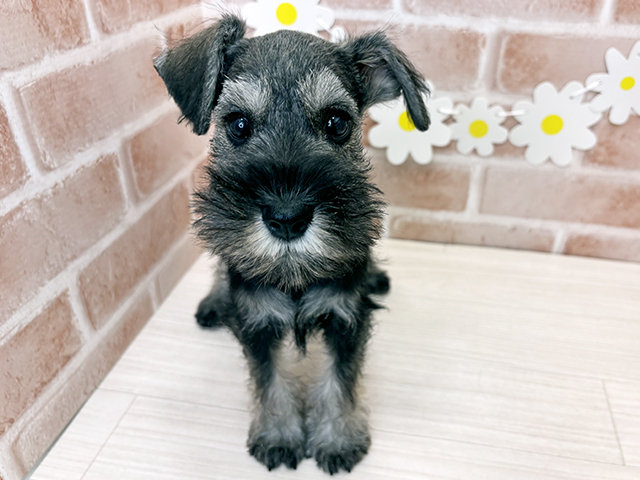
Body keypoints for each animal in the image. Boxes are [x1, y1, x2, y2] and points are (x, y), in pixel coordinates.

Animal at [153, 14, 429, 474]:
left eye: (337, 122)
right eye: (238, 124)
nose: (287, 217)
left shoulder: (346, 317)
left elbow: (340, 380)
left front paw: (337, 440)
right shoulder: (256, 321)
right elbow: (270, 380)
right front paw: (278, 435)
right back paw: (214, 301)